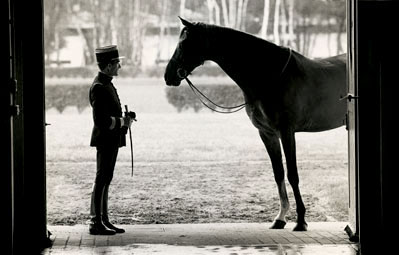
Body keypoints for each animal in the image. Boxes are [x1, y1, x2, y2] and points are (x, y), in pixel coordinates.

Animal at [165, 18, 346, 231]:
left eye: (184, 43)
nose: (168, 75)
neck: (270, 75)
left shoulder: (287, 131)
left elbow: (292, 174)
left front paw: (301, 220)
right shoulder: (267, 133)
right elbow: (278, 173)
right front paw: (280, 218)